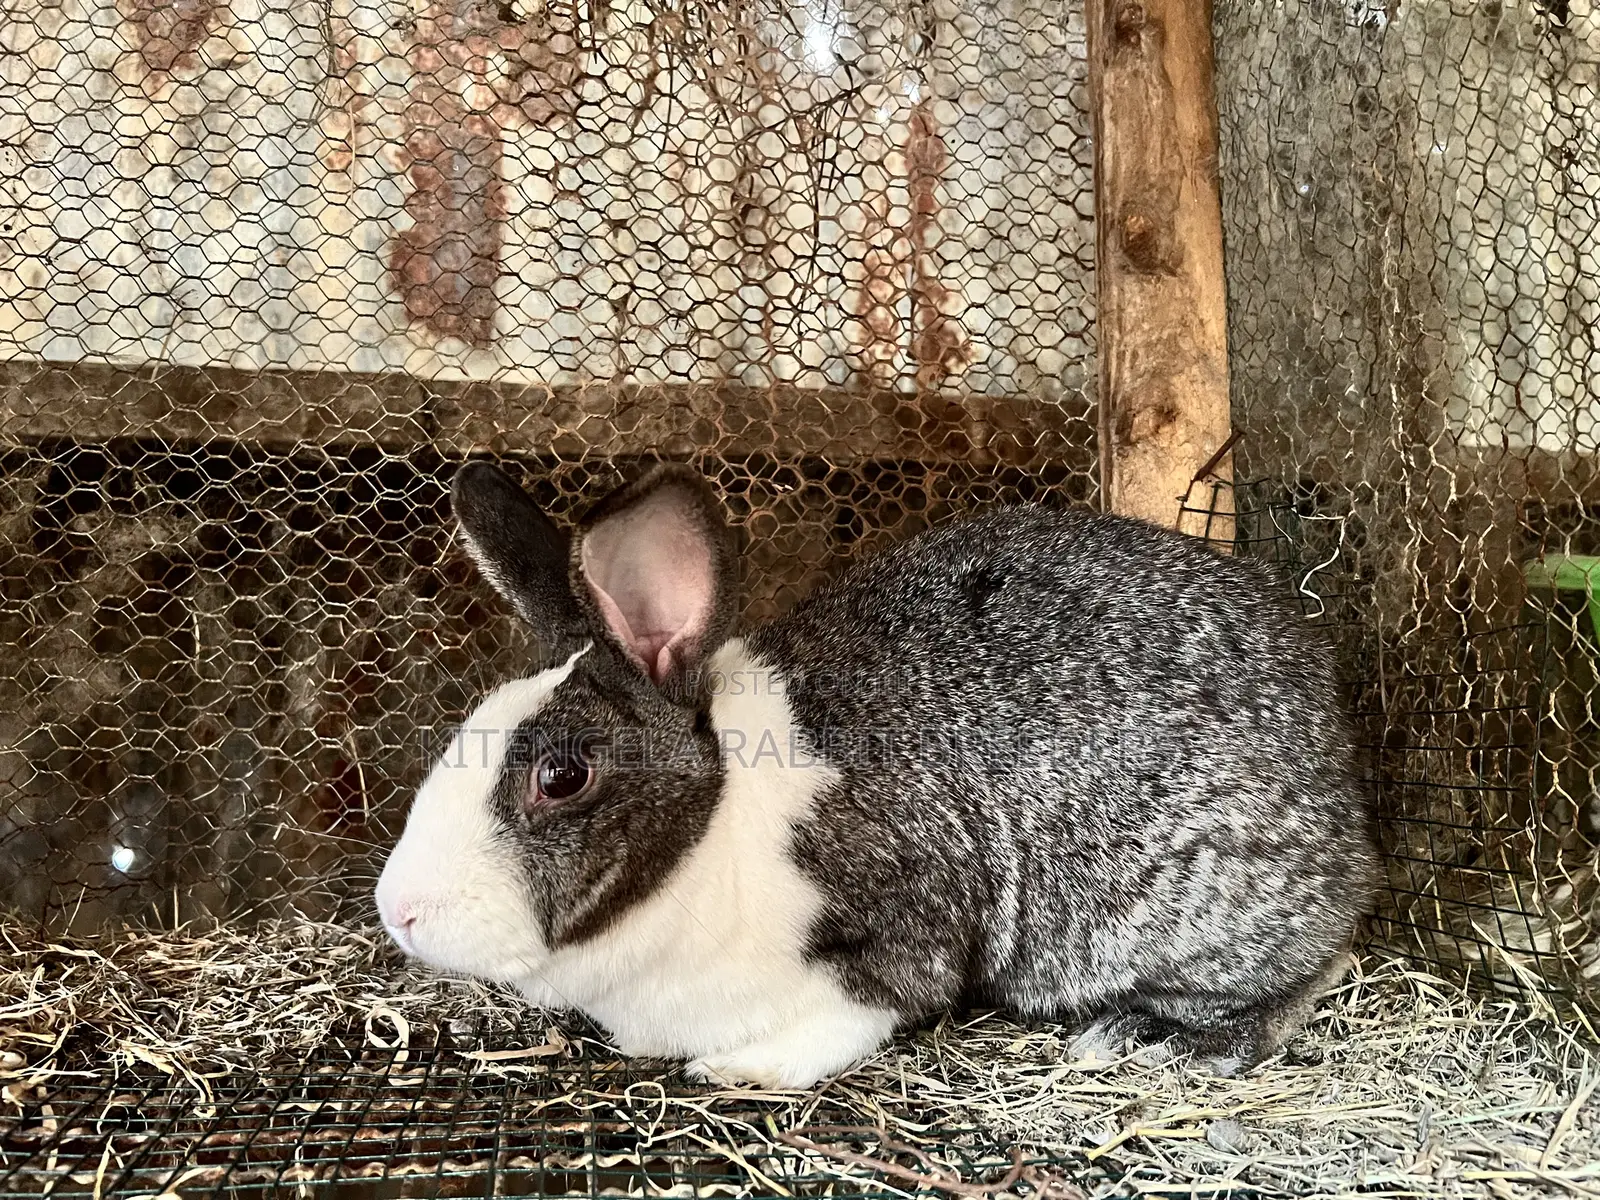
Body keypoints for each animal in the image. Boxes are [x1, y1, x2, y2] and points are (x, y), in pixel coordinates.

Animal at [375, 460, 1380, 1088]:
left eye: (562, 777)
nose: (399, 912)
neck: (713, 828)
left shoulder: (904, 926)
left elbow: (870, 1007)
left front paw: (744, 1069)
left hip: (1201, 917)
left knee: (1311, 969)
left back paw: (1153, 1035)